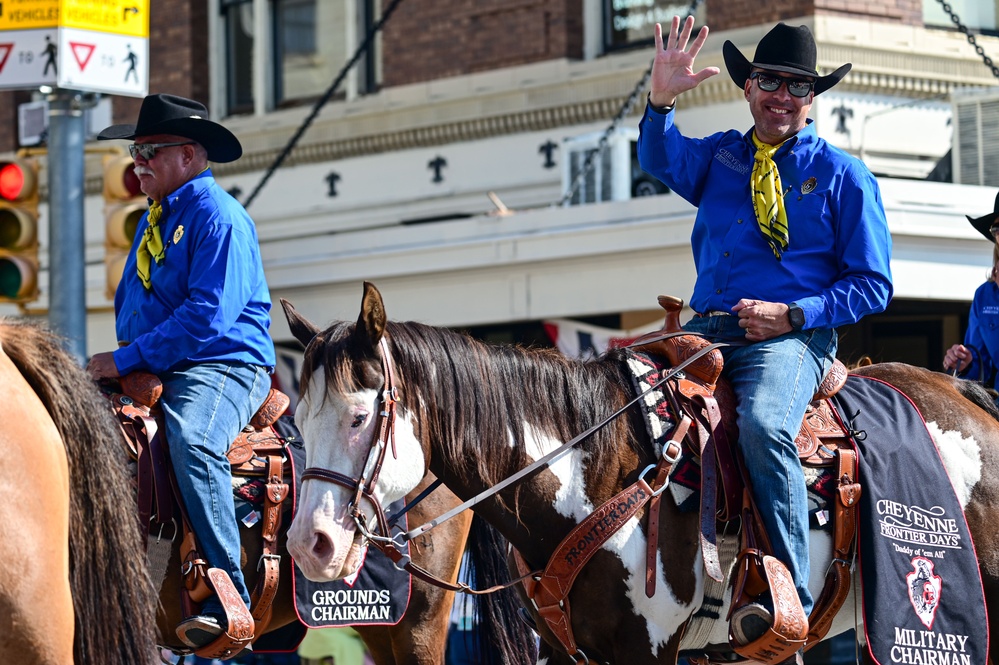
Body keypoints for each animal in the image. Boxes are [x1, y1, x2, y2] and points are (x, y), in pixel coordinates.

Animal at [284, 280, 999, 664]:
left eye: (359, 416)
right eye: (300, 420)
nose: (308, 544)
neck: (592, 472)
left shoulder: (648, 649)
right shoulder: (571, 653)